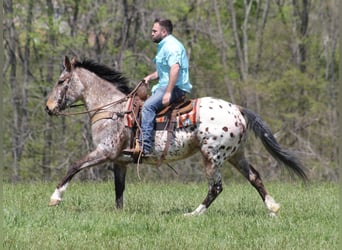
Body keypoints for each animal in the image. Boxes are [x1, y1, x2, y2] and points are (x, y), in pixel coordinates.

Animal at [45, 55, 308, 216]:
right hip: (236, 155)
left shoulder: (105, 152)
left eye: (61, 81)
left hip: (212, 157)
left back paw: (193, 214)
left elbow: (75, 166)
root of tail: (238, 109)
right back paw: (272, 208)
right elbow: (119, 190)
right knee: (254, 177)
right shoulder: (120, 161)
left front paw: (55, 197)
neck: (113, 109)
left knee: (216, 187)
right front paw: (119, 213)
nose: (48, 107)